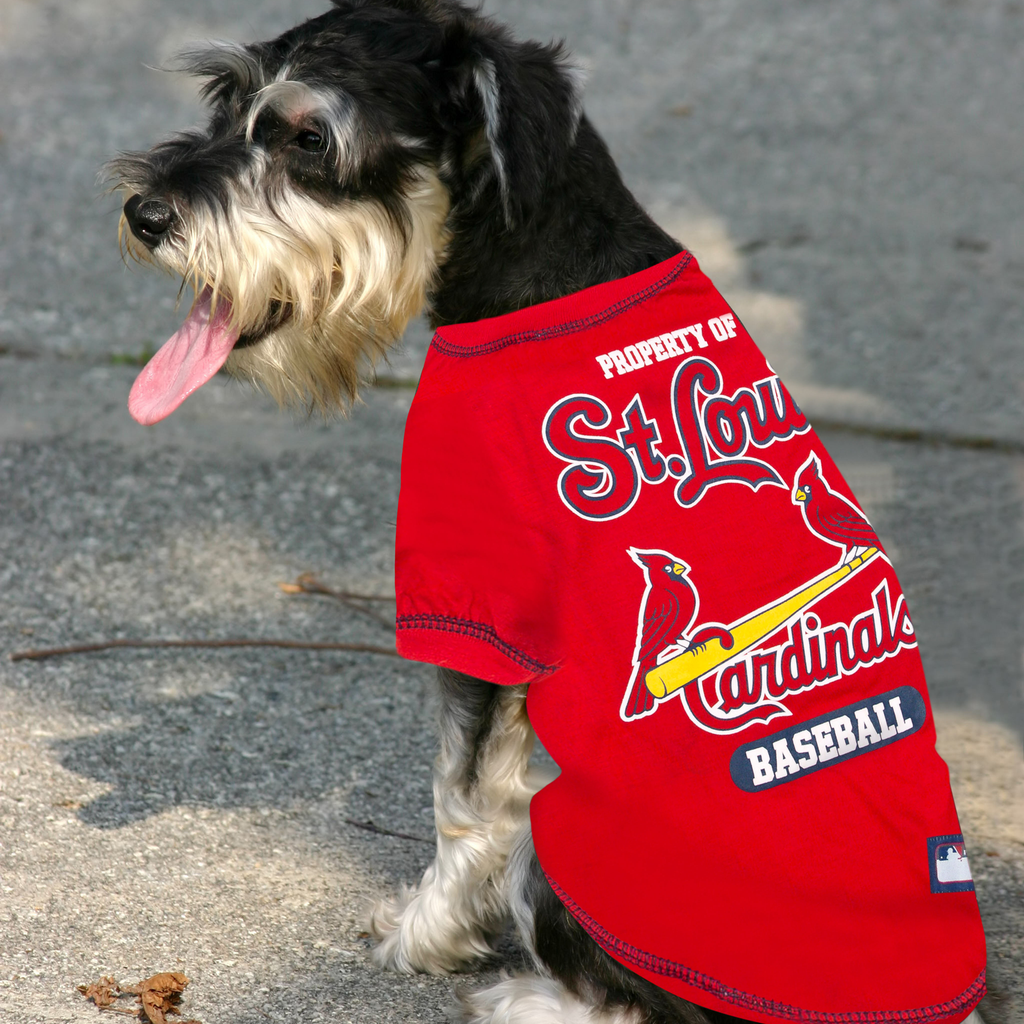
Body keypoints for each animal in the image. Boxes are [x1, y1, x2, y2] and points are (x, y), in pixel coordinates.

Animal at [108, 2, 987, 1024]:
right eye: (224, 102)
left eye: (309, 139)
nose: (145, 213)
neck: (545, 260)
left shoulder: (478, 619)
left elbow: (463, 801)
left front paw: (423, 936)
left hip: (563, 834)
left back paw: (525, 997)